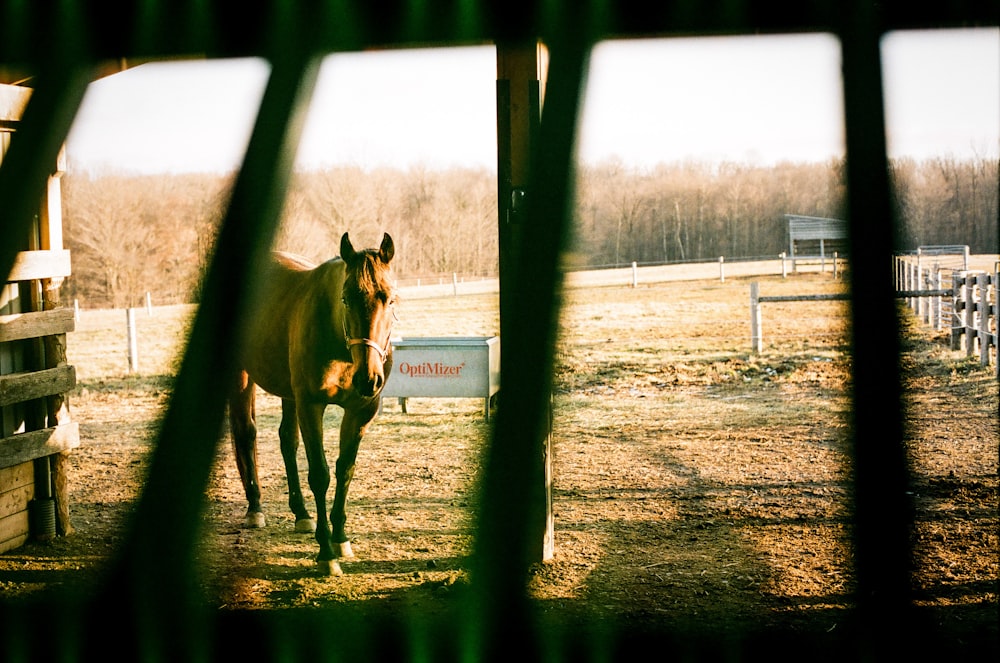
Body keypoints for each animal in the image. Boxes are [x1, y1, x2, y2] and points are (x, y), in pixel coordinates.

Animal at [229, 233, 396, 576]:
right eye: (346, 298)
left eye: (389, 299)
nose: (368, 378)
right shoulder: (311, 405)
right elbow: (320, 474)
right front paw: (326, 553)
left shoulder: (360, 412)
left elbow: (345, 470)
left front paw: (341, 539)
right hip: (242, 377)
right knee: (246, 433)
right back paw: (255, 508)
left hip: (288, 393)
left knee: (287, 441)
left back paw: (301, 514)